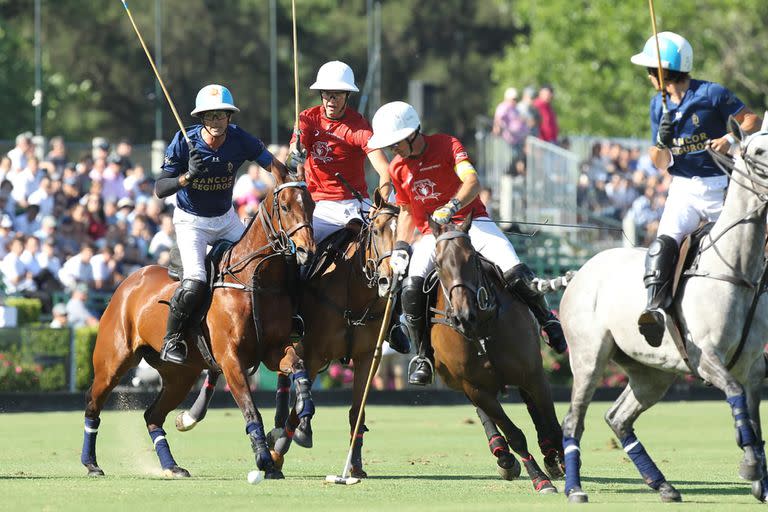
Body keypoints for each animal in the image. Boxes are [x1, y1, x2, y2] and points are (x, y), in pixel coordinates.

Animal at [80, 164, 316, 480]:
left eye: (312, 205)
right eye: (286, 206)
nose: (306, 252)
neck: (254, 279)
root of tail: (128, 282)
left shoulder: (272, 350)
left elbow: (299, 366)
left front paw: (304, 414)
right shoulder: (230, 359)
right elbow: (250, 408)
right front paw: (264, 460)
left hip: (180, 374)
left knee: (152, 415)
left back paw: (171, 466)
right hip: (112, 361)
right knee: (93, 405)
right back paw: (91, 463)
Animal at [176, 189, 400, 480]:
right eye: (376, 230)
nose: (389, 279)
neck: (354, 295)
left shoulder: (368, 357)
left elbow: (356, 412)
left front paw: (355, 465)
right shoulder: (314, 354)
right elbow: (298, 410)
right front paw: (281, 449)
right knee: (222, 366)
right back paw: (193, 416)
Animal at [426, 215, 564, 492]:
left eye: (472, 258)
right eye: (437, 262)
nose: (463, 316)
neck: (482, 327)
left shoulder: (534, 374)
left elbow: (553, 426)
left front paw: (562, 461)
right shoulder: (474, 386)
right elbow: (514, 434)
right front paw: (539, 479)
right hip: (462, 382)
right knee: (487, 414)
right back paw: (503, 455)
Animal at [560, 119, 768, 504]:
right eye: (759, 150)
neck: (734, 270)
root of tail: (579, 272)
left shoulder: (752, 366)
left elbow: (752, 414)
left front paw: (760, 479)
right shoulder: (706, 357)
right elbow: (735, 396)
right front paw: (750, 468)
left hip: (651, 373)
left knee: (618, 417)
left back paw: (663, 485)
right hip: (588, 357)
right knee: (573, 419)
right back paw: (574, 488)